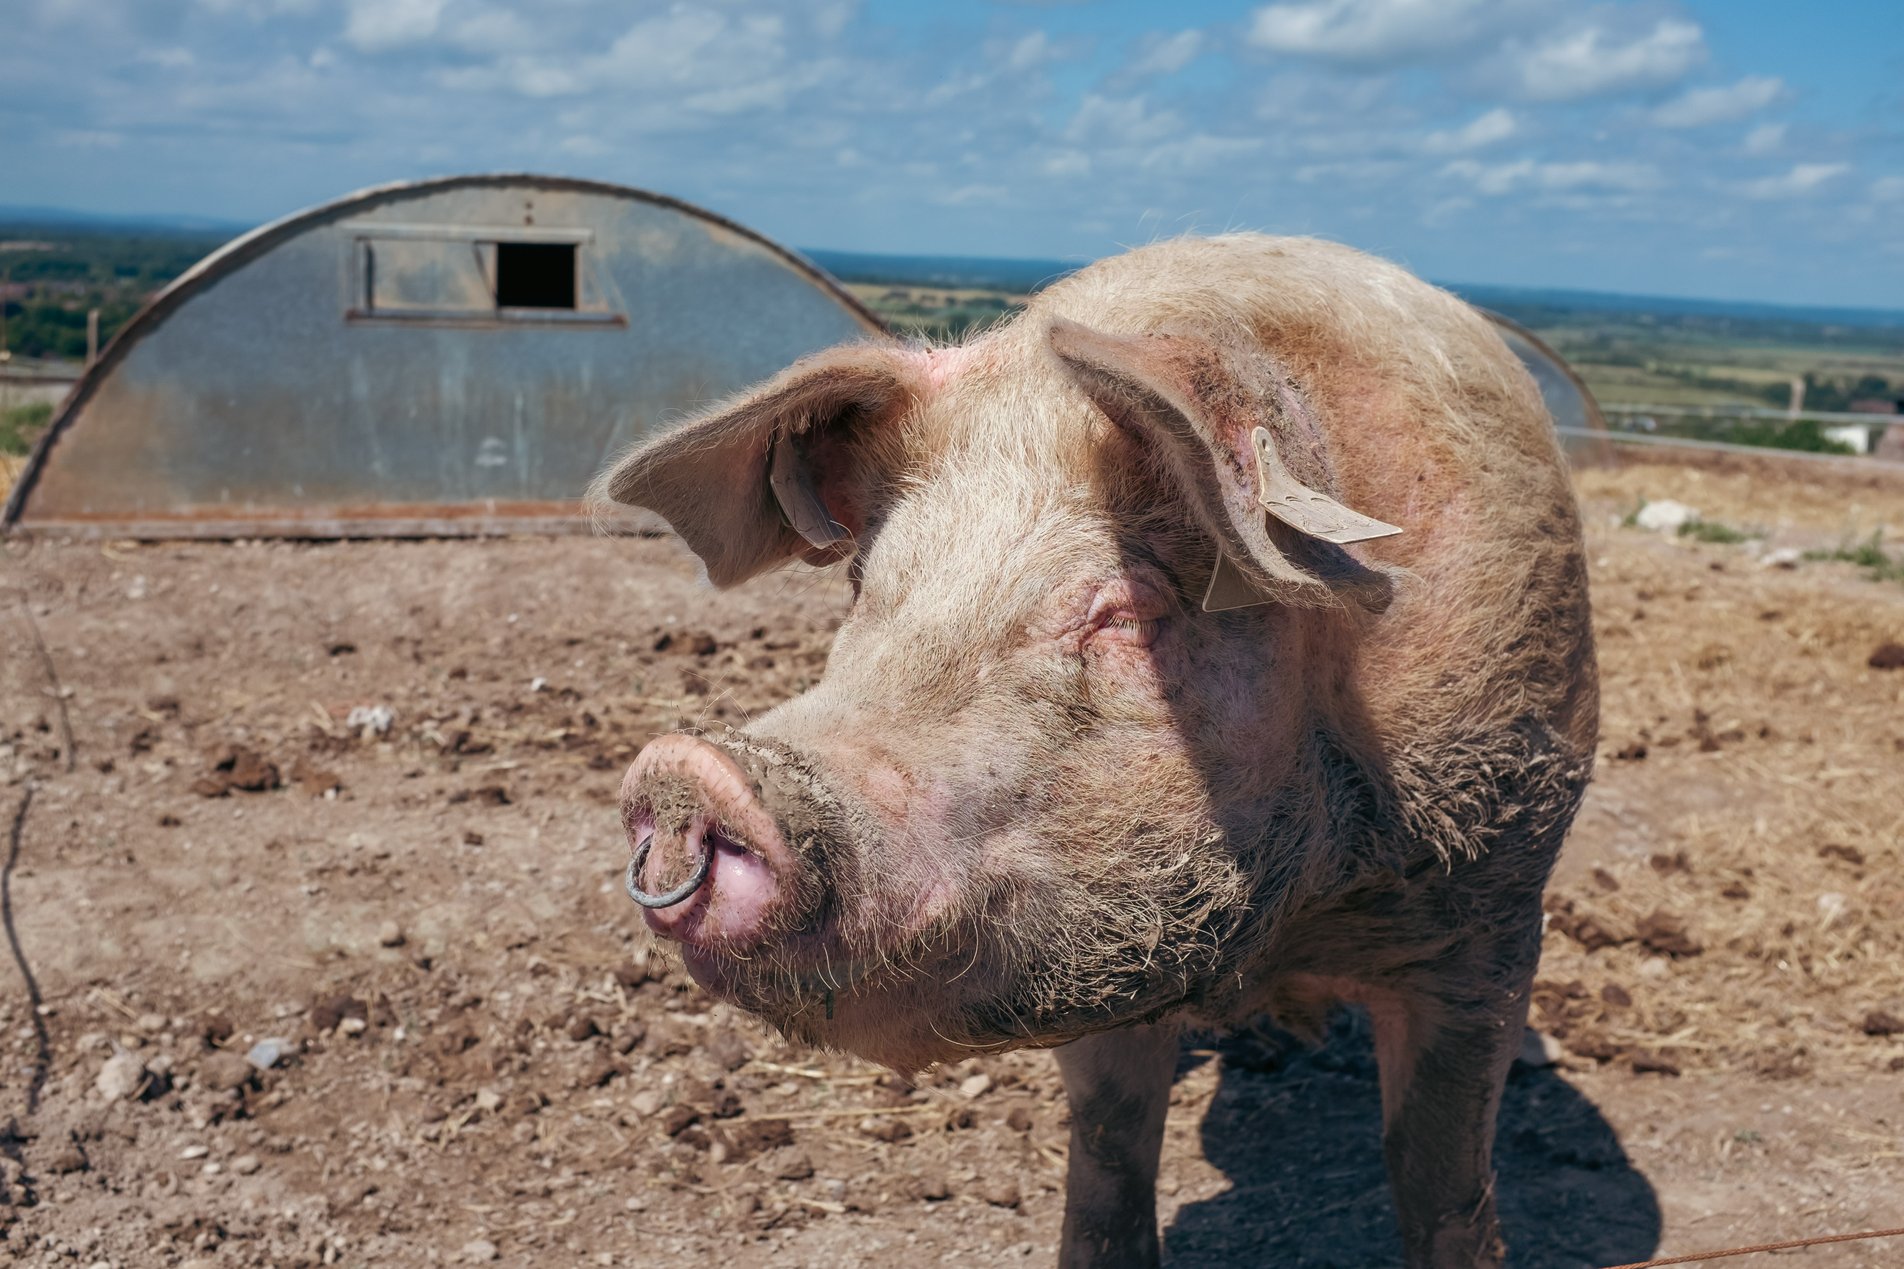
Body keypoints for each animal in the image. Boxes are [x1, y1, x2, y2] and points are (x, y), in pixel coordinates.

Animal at [592, 234, 1596, 1268]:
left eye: (1126, 611)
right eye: (866, 582)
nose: (687, 774)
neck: (1295, 910)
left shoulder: (1492, 897)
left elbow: (1440, 1173)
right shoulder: (1095, 936)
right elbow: (1112, 1143)